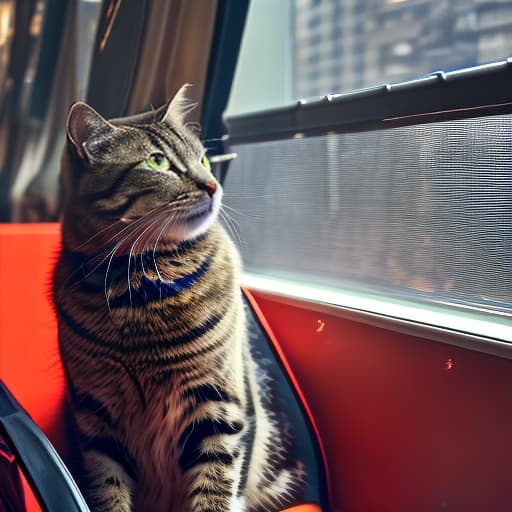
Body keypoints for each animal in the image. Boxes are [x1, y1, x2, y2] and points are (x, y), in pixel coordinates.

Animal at [52, 86, 304, 510]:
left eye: (202, 158)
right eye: (157, 162)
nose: (212, 185)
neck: (140, 285)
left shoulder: (219, 407)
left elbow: (215, 490)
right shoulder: (96, 417)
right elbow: (107, 488)